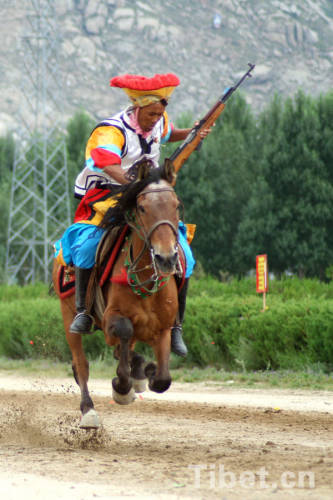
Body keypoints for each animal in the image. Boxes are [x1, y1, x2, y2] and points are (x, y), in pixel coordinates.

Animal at [52, 162, 182, 428]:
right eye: (142, 208)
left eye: (176, 205)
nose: (166, 258)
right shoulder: (112, 317)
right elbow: (123, 331)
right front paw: (121, 387)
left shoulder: (163, 327)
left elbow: (163, 379)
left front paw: (147, 372)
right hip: (69, 312)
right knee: (81, 365)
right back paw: (89, 411)